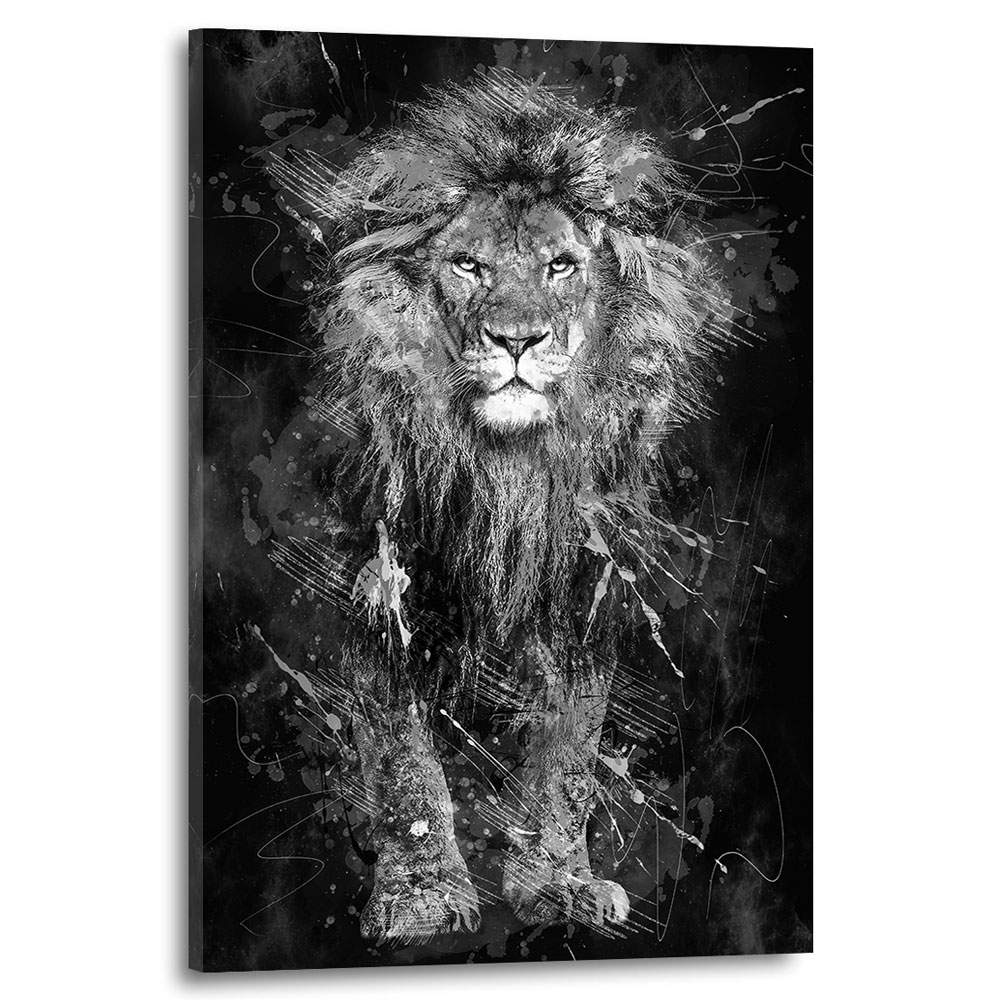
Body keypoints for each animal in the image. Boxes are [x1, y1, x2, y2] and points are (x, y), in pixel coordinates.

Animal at [267, 69, 728, 944]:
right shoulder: (379, 582)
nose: (519, 340)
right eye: (467, 265)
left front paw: (559, 886)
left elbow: (568, 758)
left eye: (562, 265)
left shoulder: (582, 590)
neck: (504, 469)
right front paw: (421, 897)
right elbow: (405, 764)